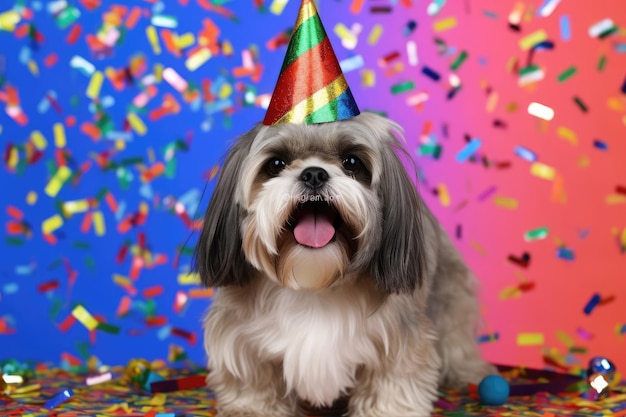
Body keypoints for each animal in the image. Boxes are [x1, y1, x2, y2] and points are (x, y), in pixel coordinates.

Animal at [193, 111, 494, 416]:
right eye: (276, 164)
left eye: (352, 162)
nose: (314, 174)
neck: (315, 283)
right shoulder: (241, 339)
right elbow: (252, 381)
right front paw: (251, 408)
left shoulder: (399, 339)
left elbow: (392, 383)